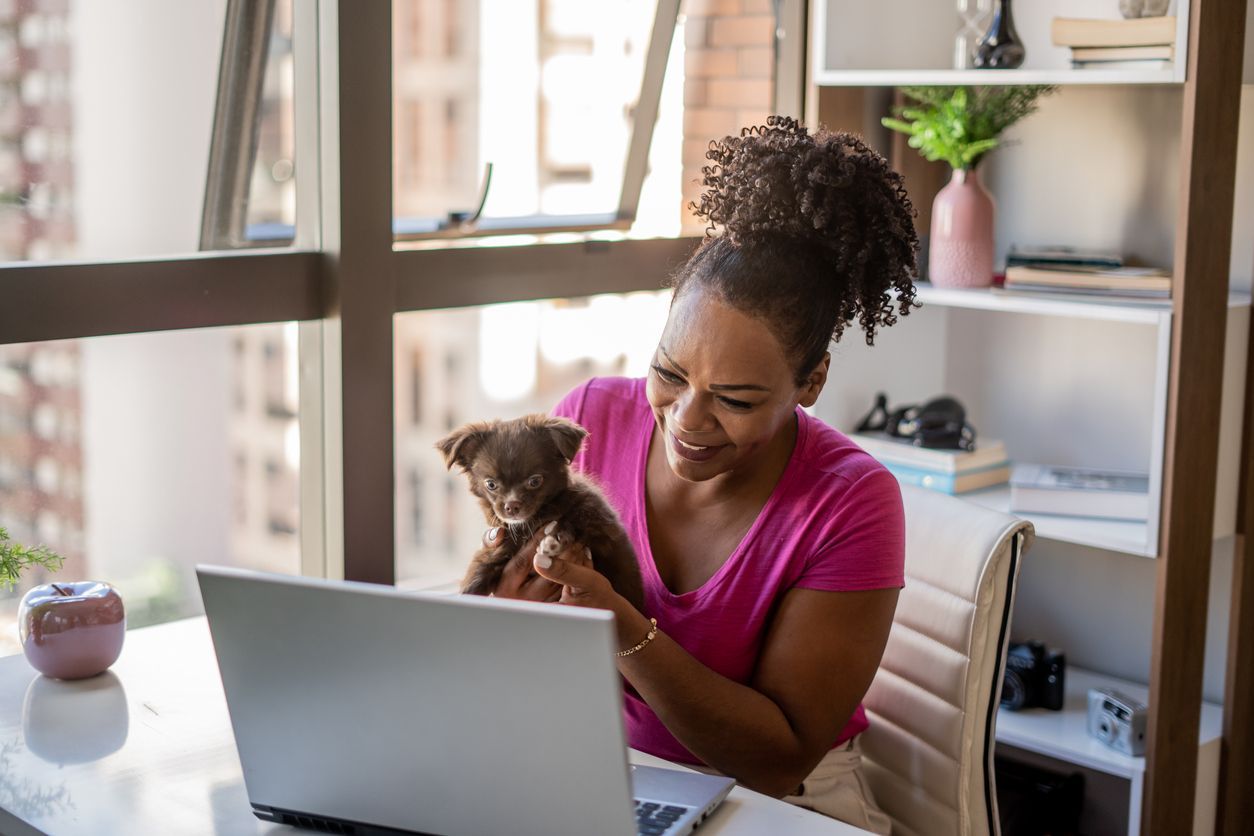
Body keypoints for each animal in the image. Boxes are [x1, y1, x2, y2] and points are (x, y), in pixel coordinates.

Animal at [436, 416, 647, 611]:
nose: (512, 506)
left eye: (535, 481)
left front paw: (554, 539)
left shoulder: (602, 523)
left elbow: (576, 517)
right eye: (491, 484)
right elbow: (489, 558)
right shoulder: (506, 538)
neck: (533, 519)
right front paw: (469, 587)